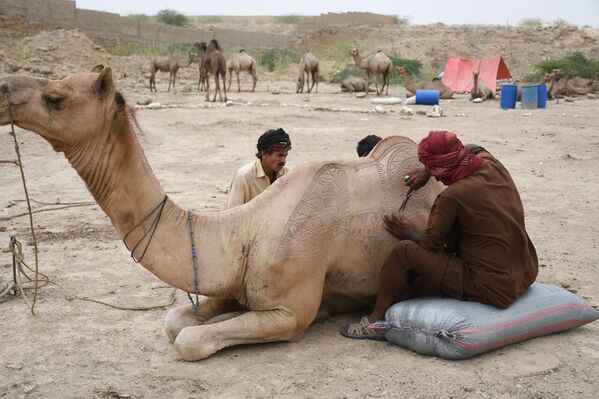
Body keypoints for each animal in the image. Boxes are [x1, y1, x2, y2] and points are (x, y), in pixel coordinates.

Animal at [0, 66, 440, 362]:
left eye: (55, 97)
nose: (3, 88)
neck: (246, 232)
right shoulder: (231, 285)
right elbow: (175, 321)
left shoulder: (290, 313)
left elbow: (189, 340)